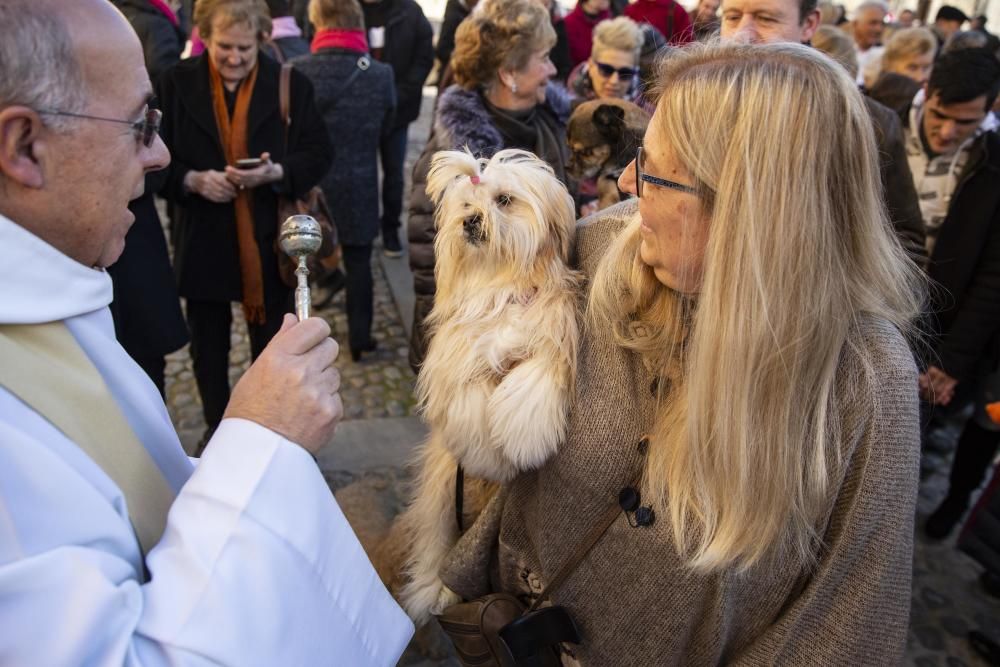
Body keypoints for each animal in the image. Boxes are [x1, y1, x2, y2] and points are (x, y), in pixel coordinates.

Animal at [398, 147, 584, 628]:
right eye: (466, 204)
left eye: (503, 200)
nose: (469, 221)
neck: (499, 286)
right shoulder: (457, 357)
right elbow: (469, 398)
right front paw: (488, 454)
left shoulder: (551, 337)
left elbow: (532, 381)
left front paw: (523, 438)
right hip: (443, 489)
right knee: (435, 542)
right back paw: (431, 589)